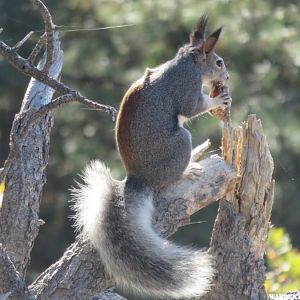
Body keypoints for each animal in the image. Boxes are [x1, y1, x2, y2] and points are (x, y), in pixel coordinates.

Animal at [71, 15, 231, 298]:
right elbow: (192, 107)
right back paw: (188, 169)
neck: (188, 62)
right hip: (180, 142)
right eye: (219, 62)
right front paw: (218, 100)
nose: (227, 76)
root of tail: (140, 178)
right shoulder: (186, 87)